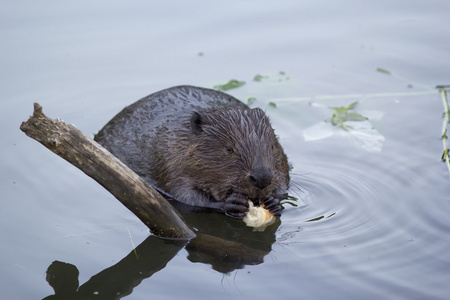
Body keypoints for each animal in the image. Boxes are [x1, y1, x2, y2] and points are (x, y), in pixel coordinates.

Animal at [96, 84, 290, 218]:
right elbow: (185, 195)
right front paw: (232, 204)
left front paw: (274, 201)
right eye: (228, 148)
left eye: (272, 146)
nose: (262, 177)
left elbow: (284, 180)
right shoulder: (170, 158)